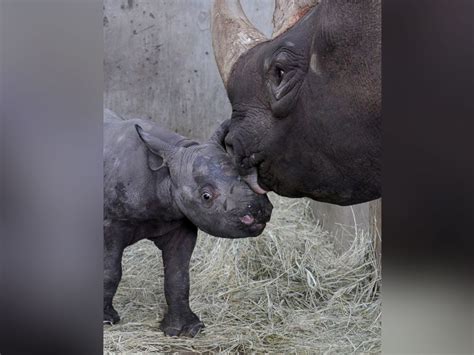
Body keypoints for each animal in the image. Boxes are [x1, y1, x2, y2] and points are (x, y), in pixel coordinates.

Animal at [105, 110, 272, 338]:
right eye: (206, 196)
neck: (165, 176)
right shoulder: (112, 223)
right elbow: (111, 271)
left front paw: (186, 330)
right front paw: (106, 320)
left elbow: (178, 276)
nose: (260, 212)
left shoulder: (180, 222)